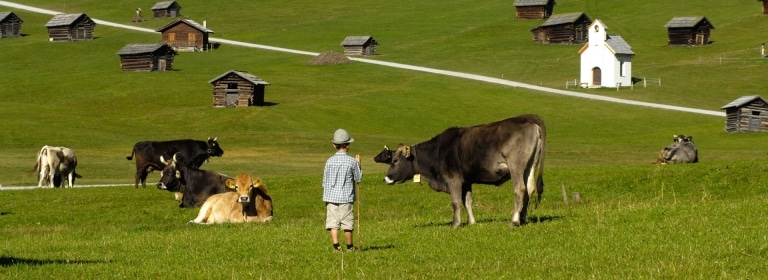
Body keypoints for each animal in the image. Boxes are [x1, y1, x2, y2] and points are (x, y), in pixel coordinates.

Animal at [380, 115, 544, 229]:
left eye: (395, 160)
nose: (386, 178)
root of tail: (532, 122)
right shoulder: (466, 181)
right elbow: (467, 201)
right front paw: (471, 222)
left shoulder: (454, 179)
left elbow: (456, 202)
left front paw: (455, 224)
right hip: (530, 167)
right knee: (529, 189)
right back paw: (523, 218)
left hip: (516, 167)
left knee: (520, 189)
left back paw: (514, 220)